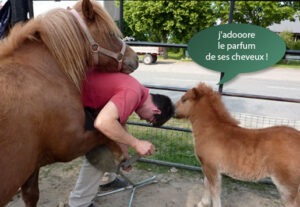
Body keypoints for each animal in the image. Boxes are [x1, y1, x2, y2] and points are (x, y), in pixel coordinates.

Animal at [0, 0, 138, 206]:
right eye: (111, 34)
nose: (135, 59)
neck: (42, 72)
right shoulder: (69, 145)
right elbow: (102, 133)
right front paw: (120, 150)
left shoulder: (32, 165)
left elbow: (31, 195)